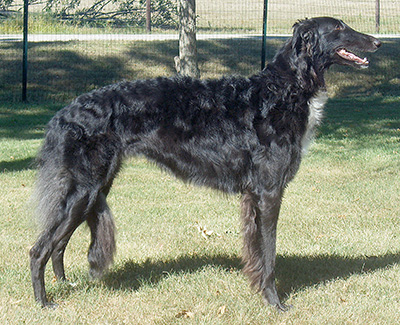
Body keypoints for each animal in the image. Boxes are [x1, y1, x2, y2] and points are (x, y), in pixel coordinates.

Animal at [29, 17, 380, 308]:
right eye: (338, 28)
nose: (377, 42)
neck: (282, 89)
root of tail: (65, 113)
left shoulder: (254, 195)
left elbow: (256, 251)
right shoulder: (268, 191)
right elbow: (269, 253)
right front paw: (274, 303)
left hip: (93, 188)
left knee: (58, 244)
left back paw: (65, 285)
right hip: (85, 188)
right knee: (39, 249)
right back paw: (44, 303)